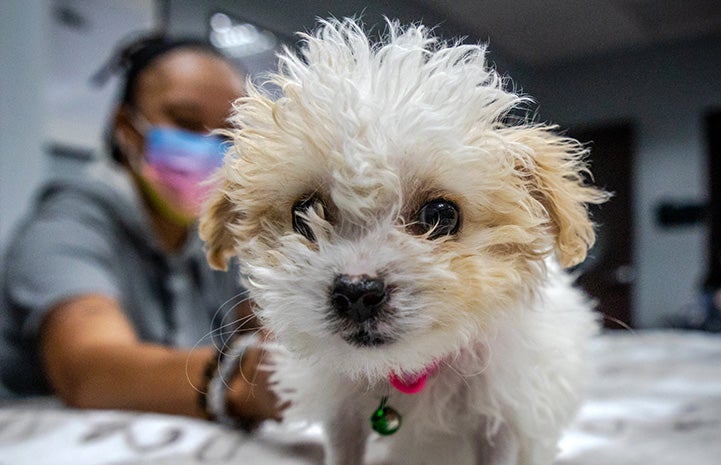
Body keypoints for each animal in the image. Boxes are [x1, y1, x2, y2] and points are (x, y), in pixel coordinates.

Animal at [201, 18, 608, 464]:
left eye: (440, 216)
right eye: (303, 214)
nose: (356, 291)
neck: (411, 369)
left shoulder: (502, 418)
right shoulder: (342, 418)